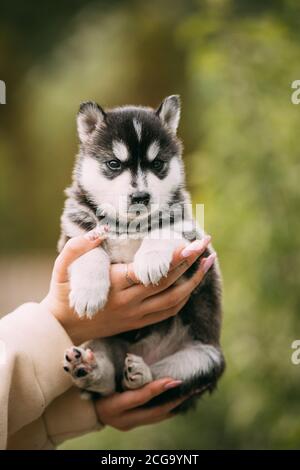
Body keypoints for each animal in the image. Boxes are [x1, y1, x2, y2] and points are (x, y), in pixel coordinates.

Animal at [59, 96, 225, 412]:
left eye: (158, 164)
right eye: (114, 164)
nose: (140, 197)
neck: (128, 225)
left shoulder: (193, 240)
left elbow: (163, 232)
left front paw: (149, 260)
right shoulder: (73, 237)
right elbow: (90, 252)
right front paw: (89, 292)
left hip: (207, 358)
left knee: (157, 382)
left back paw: (140, 373)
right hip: (99, 341)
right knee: (110, 384)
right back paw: (89, 370)